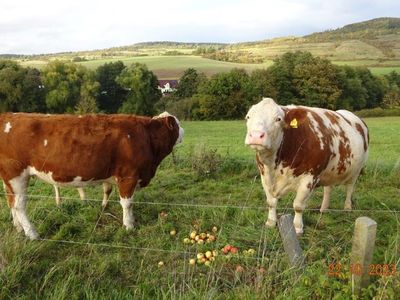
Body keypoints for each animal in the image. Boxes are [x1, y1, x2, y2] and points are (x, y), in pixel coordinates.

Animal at [0, 111, 184, 240]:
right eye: (177, 124)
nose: (184, 131)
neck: (146, 137)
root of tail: (7, 115)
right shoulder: (128, 176)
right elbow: (127, 203)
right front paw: (129, 225)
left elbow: (109, 192)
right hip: (16, 176)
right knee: (19, 205)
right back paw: (32, 233)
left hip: (9, 179)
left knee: (11, 202)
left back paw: (18, 227)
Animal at [245, 98, 370, 234]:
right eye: (248, 117)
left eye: (278, 119)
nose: (256, 136)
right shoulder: (265, 176)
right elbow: (271, 202)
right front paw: (270, 223)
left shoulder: (309, 178)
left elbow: (298, 205)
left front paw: (297, 227)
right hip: (330, 171)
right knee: (328, 188)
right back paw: (324, 209)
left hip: (357, 169)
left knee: (350, 188)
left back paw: (347, 208)